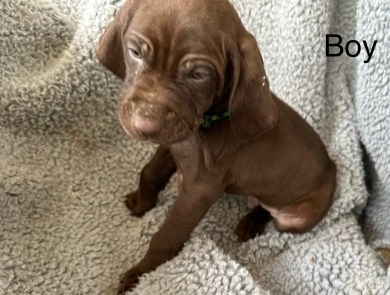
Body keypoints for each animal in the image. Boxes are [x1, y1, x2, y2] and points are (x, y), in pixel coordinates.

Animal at [96, 0, 336, 292]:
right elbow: (150, 172)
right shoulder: (174, 141)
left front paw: (140, 276)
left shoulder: (200, 190)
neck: (207, 122)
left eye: (198, 74)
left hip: (298, 219)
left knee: (273, 212)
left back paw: (252, 222)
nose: (145, 126)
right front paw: (142, 202)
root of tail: (333, 168)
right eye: (135, 53)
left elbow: (166, 236)